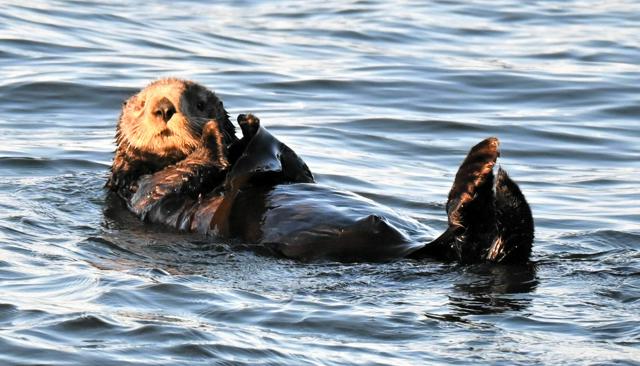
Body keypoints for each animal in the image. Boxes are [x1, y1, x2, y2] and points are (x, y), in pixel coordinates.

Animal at [107, 78, 532, 264]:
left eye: (197, 102)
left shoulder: (293, 170)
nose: (164, 108)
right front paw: (218, 138)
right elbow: (176, 179)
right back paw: (483, 169)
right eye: (142, 104)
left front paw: (247, 125)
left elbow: (295, 169)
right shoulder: (143, 191)